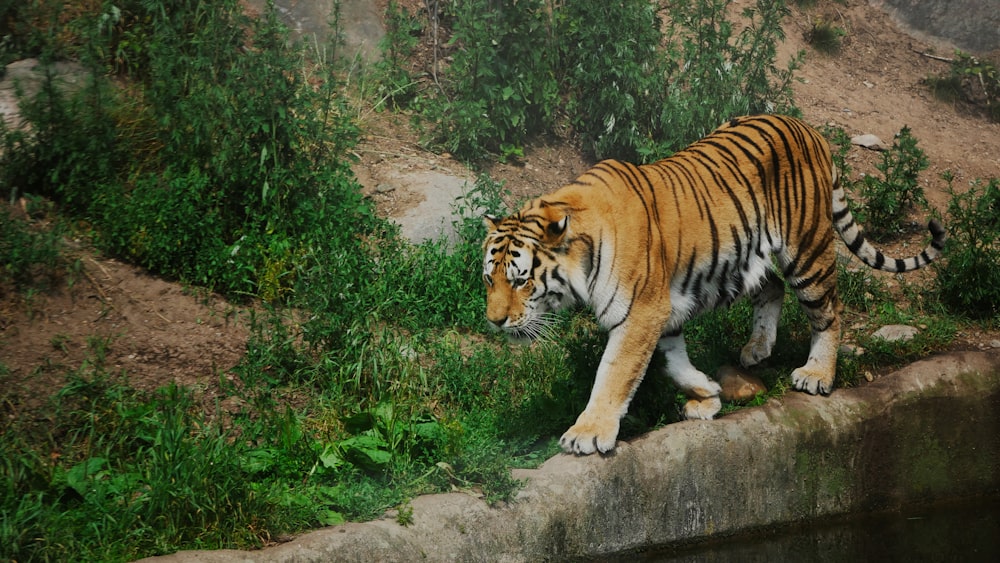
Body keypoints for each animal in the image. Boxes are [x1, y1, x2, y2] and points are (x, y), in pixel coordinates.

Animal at [482, 112, 944, 456]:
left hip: (808, 251)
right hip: (748, 257)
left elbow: (614, 374)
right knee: (772, 287)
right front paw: (707, 394)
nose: (494, 321)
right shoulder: (661, 311)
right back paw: (757, 348)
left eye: (521, 280)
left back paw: (817, 374)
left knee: (830, 310)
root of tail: (807, 128)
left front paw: (588, 433)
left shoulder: (640, 312)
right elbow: (673, 361)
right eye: (489, 279)